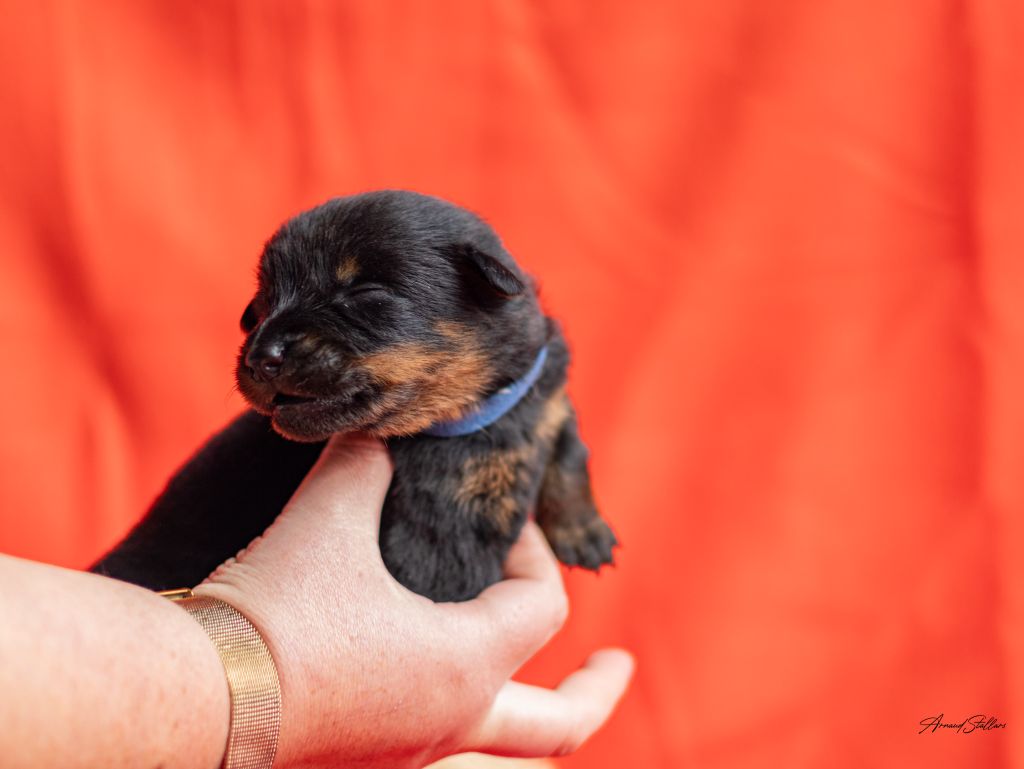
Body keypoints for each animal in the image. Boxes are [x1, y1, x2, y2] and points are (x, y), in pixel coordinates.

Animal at [94, 191, 614, 602]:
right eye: (259, 306)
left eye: (364, 292)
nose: (260, 357)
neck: (474, 410)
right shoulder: (439, 522)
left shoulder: (545, 390)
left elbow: (569, 448)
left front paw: (584, 532)